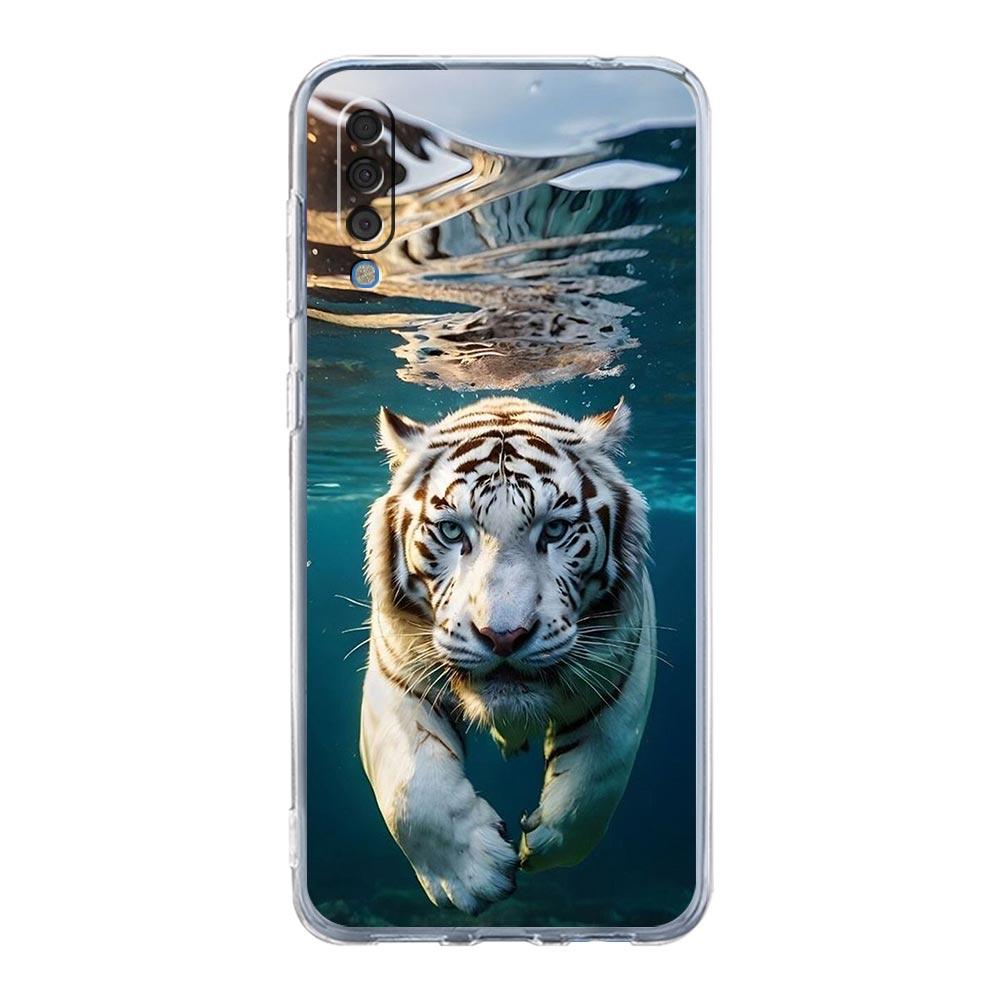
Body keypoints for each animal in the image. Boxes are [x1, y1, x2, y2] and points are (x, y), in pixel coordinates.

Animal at [359, 396, 656, 914]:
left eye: (555, 530)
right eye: (452, 531)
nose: (504, 636)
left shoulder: (624, 674)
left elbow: (599, 778)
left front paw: (542, 845)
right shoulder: (393, 677)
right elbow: (411, 790)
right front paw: (470, 877)